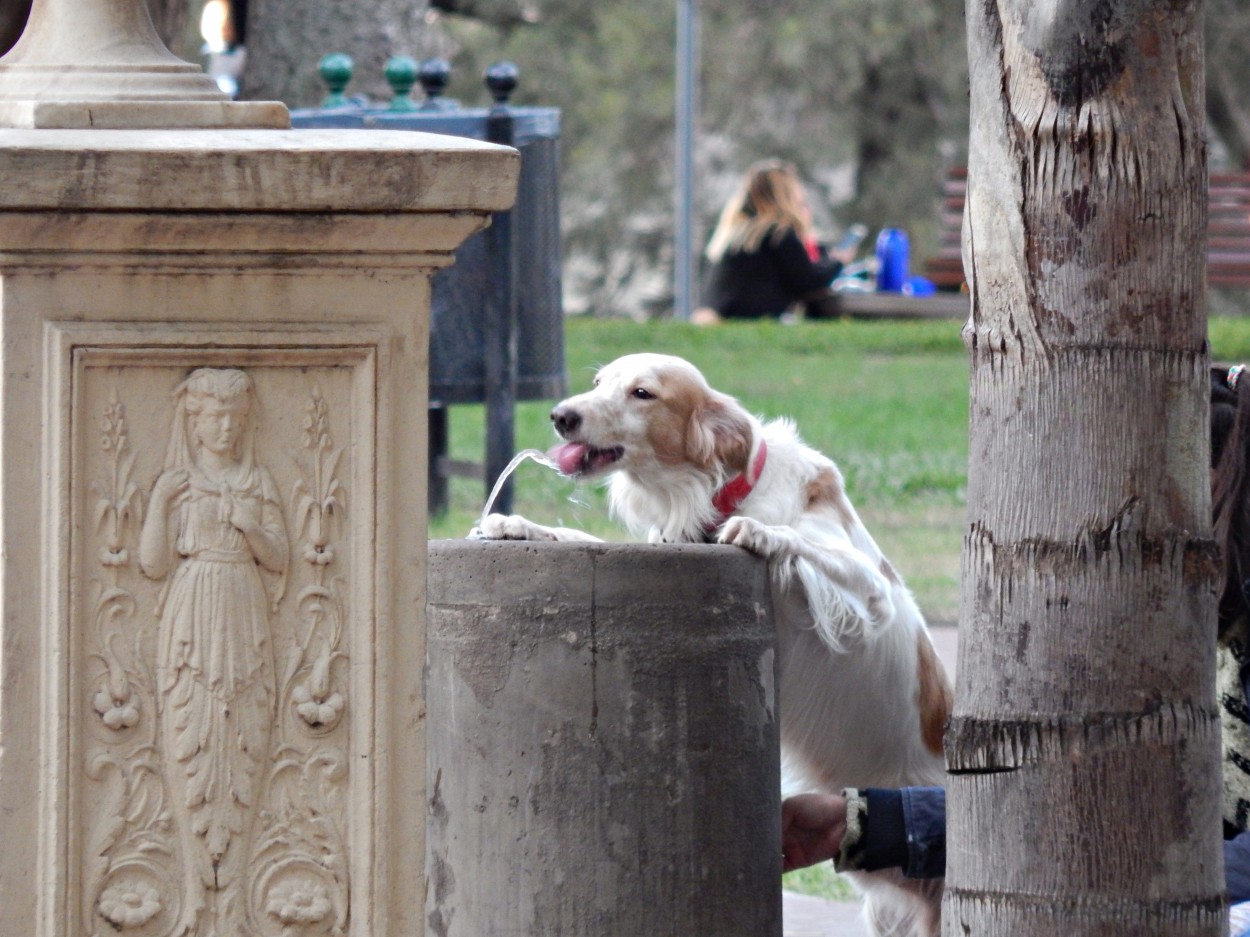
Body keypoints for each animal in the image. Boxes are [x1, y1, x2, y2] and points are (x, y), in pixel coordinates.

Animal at [477, 354, 945, 937]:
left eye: (642, 393)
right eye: (598, 383)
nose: (561, 416)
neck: (717, 493)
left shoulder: (872, 591)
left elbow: (797, 541)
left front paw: (761, 532)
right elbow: (580, 539)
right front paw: (516, 524)